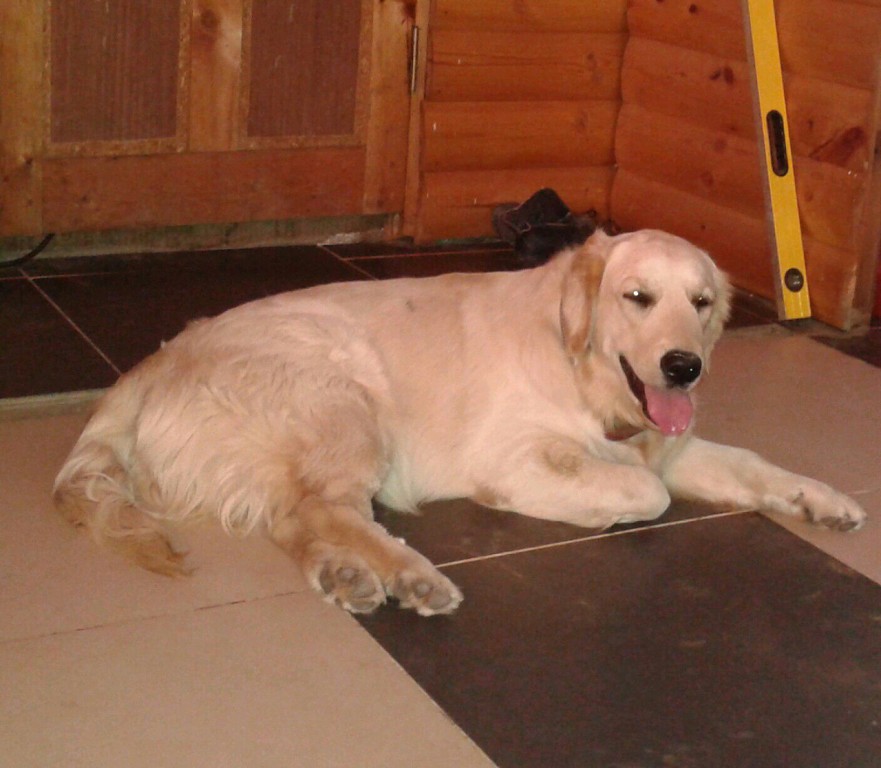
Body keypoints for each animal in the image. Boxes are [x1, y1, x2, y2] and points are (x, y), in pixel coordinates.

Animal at [53, 229, 866, 615]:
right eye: (637, 297)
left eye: (700, 303)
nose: (683, 367)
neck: (581, 368)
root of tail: (146, 366)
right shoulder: (515, 457)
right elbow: (646, 494)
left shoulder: (670, 444)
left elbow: (753, 466)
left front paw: (822, 499)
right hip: (347, 401)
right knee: (329, 509)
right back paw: (410, 575)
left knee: (296, 517)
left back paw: (347, 575)